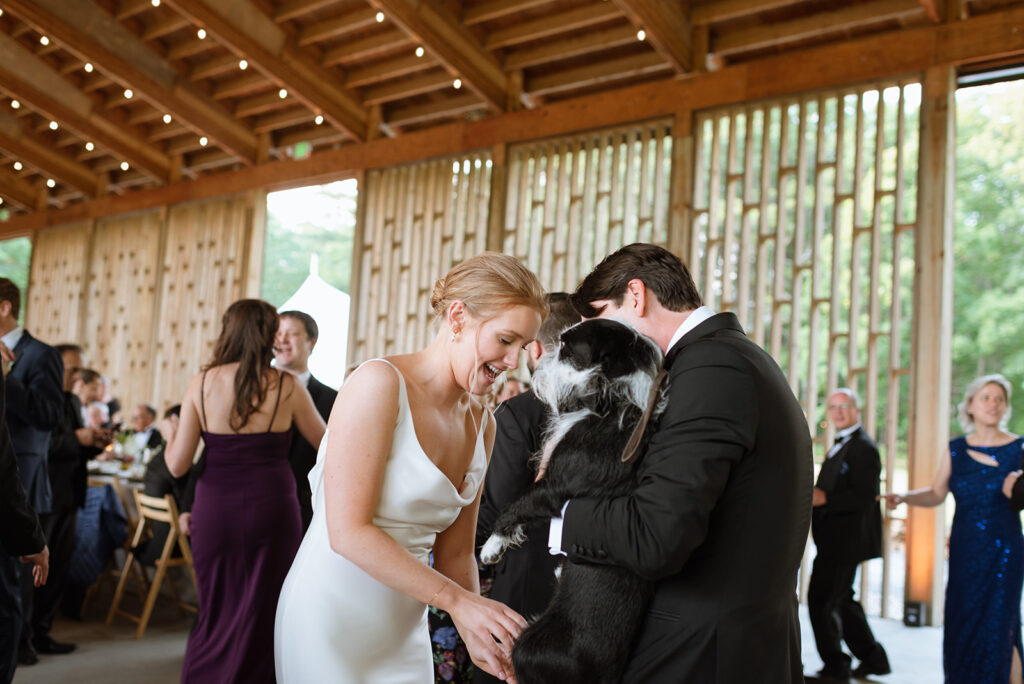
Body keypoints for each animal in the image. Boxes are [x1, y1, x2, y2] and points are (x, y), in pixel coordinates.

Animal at [477, 319, 663, 684]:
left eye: (566, 348)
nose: (531, 370)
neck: (611, 405)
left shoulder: (553, 486)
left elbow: (515, 506)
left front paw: (491, 547)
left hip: (531, 645)